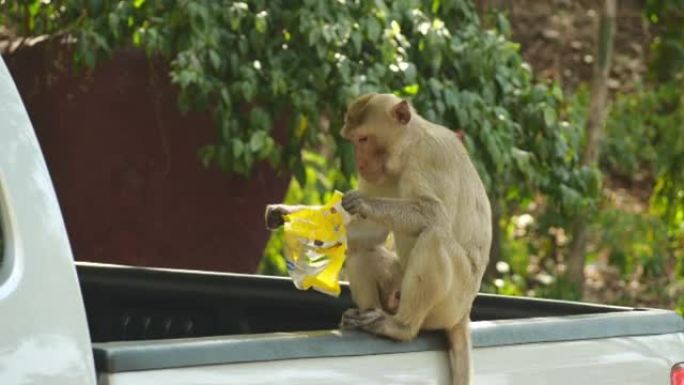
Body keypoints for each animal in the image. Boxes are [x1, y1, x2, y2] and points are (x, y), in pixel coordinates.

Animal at [338, 92, 492, 384]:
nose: (360, 164)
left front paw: (363, 203)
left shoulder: (431, 157)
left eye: (363, 139)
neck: (407, 151)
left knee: (434, 238)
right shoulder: (381, 175)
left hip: (449, 304)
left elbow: (435, 215)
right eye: (351, 141)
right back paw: (367, 315)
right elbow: (372, 232)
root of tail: (464, 314)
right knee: (361, 249)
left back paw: (400, 327)